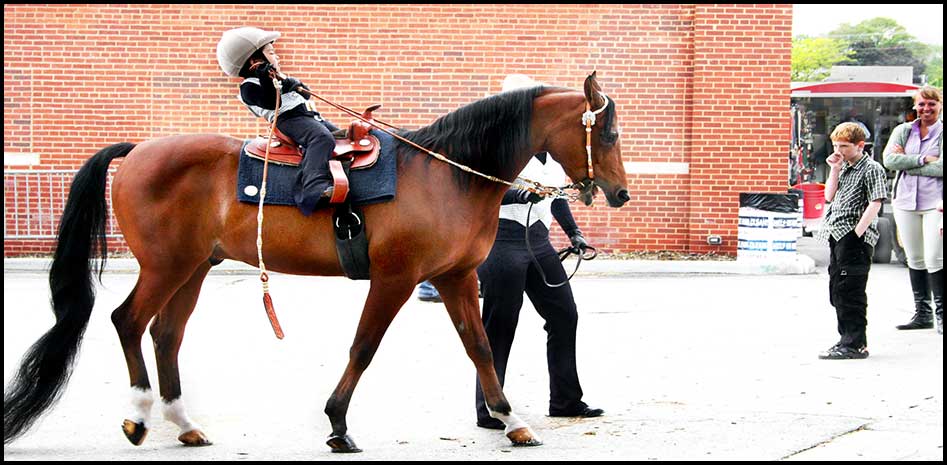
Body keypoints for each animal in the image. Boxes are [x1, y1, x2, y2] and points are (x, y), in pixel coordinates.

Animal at [7, 71, 632, 450]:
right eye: (608, 133)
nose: (621, 193)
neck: (446, 175)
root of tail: (139, 149)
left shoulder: (455, 279)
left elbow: (479, 348)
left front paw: (513, 420)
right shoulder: (395, 279)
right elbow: (364, 347)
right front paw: (337, 424)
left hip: (194, 267)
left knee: (165, 333)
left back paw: (183, 423)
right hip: (166, 265)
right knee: (128, 321)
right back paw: (139, 414)